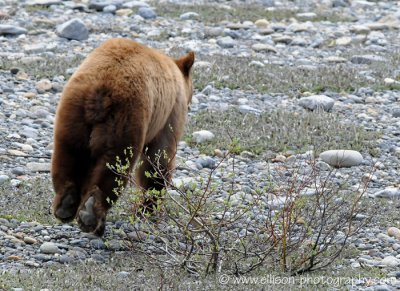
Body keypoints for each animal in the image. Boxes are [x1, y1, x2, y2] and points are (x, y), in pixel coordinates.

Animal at [50, 37, 195, 236]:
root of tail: (99, 91)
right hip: (126, 119)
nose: (191, 104)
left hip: (71, 116)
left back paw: (66, 204)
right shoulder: (170, 113)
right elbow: (158, 160)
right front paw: (148, 208)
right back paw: (92, 214)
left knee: (69, 156)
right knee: (115, 167)